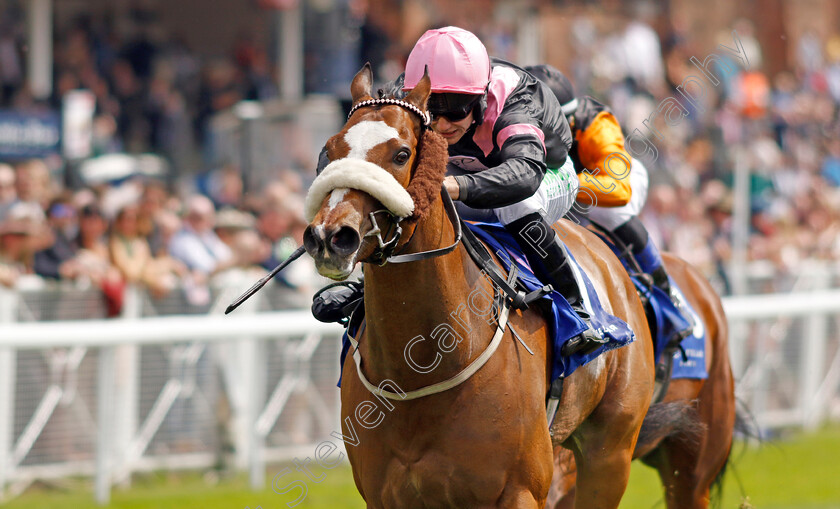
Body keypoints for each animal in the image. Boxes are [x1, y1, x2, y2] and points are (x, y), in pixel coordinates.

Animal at [302, 64, 656, 508]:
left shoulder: (520, 490)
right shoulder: (386, 496)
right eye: (330, 150)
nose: (330, 236)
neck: (422, 366)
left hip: (610, 452)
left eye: (401, 154)